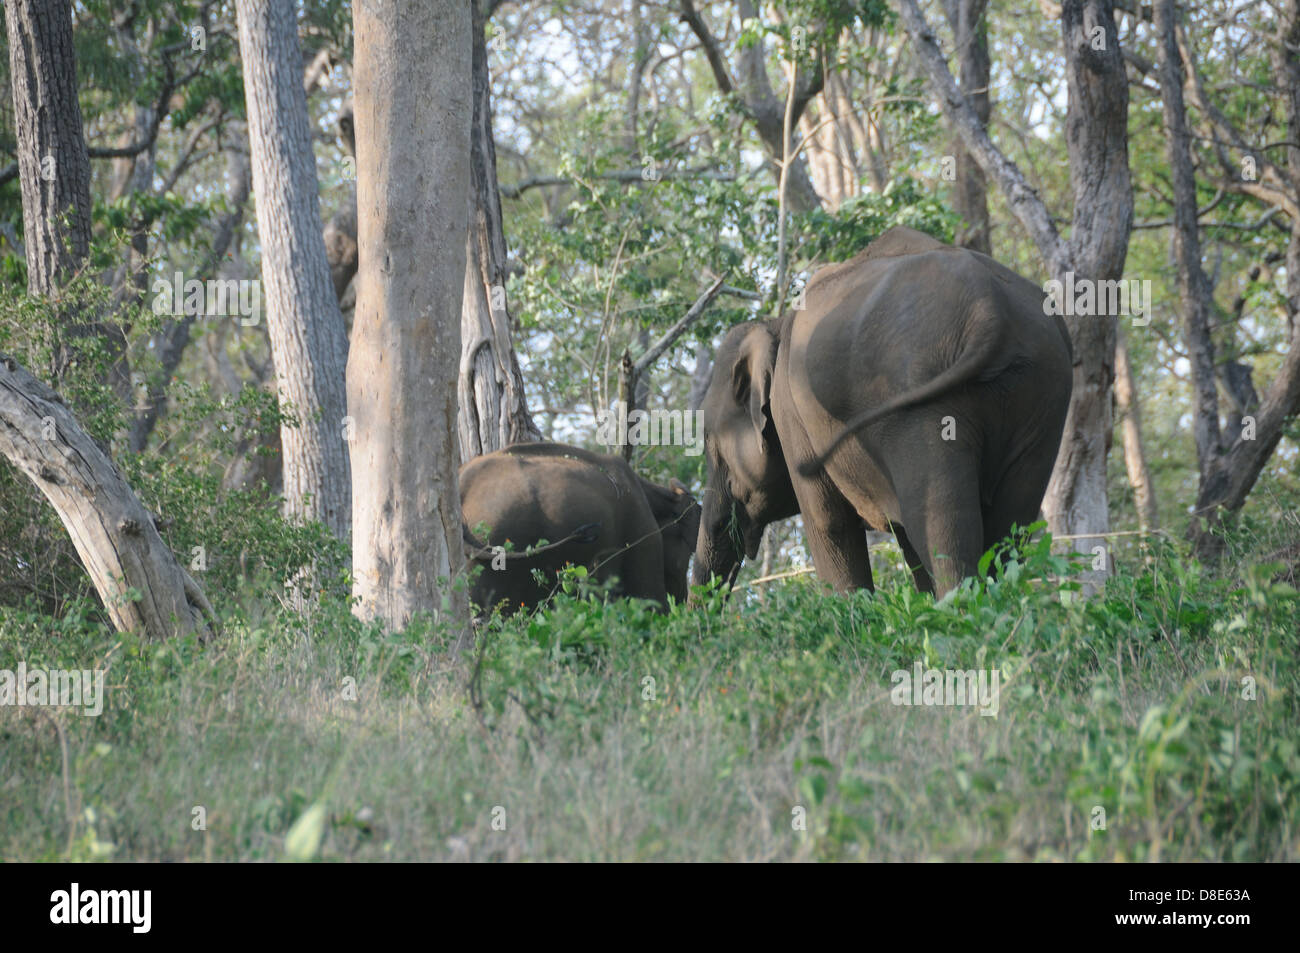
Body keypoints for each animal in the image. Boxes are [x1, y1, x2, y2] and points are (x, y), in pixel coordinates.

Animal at [696, 226, 1071, 595]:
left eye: (710, 441)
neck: (774, 326)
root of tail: (990, 309)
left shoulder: (791, 416)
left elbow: (828, 523)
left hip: (923, 405)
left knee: (940, 520)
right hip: (1042, 395)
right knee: (1011, 522)